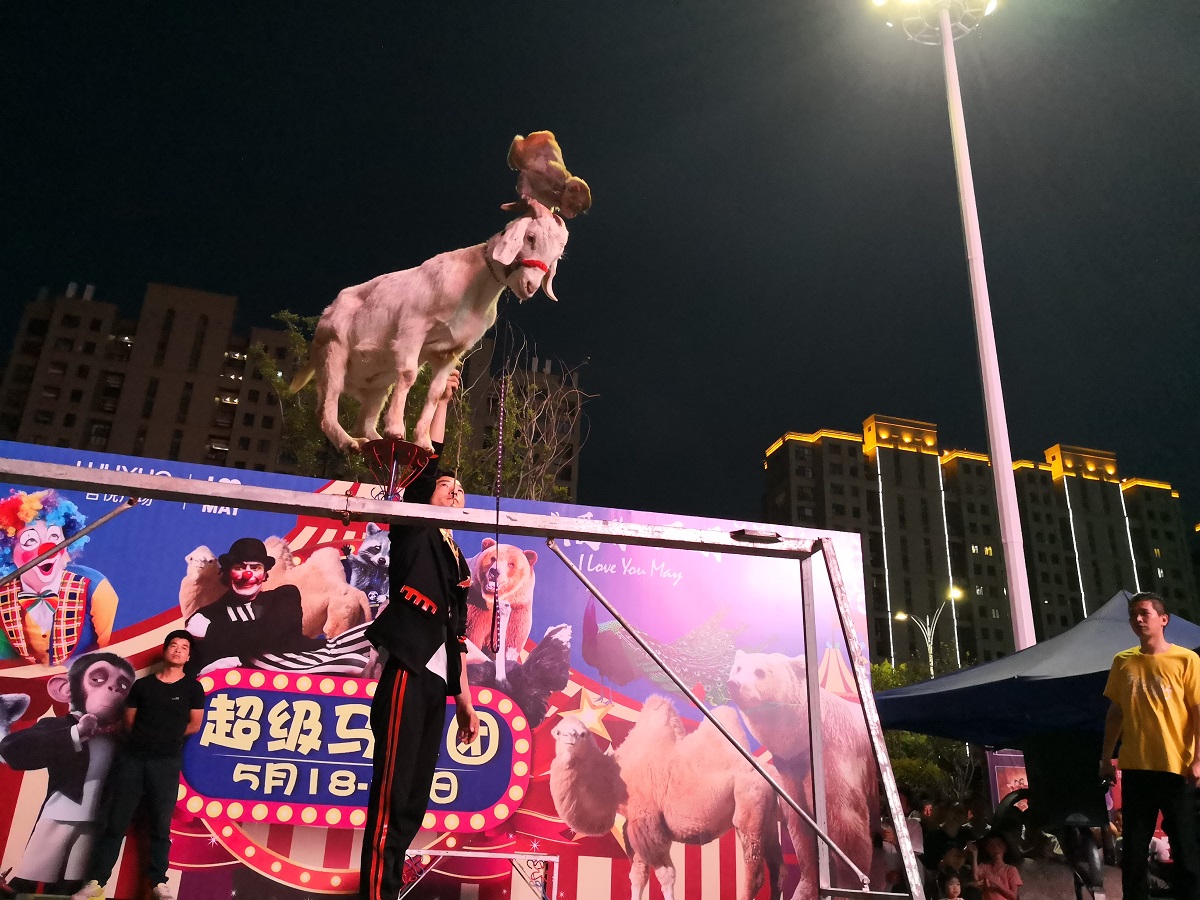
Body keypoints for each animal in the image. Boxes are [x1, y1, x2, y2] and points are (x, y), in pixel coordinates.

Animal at [291, 200, 569, 453]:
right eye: (530, 237)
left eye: (556, 255)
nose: (530, 286)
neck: (473, 289)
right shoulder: (413, 329)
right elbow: (408, 374)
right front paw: (396, 430)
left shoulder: (451, 351)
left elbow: (435, 392)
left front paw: (423, 442)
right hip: (333, 351)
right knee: (326, 408)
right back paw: (349, 442)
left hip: (377, 386)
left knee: (364, 421)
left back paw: (373, 439)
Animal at [726, 649, 877, 900]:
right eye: (738, 668)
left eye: (760, 672)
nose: (734, 684)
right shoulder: (789, 771)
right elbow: (801, 827)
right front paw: (805, 888)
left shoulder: (834, 754)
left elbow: (845, 821)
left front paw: (849, 888)